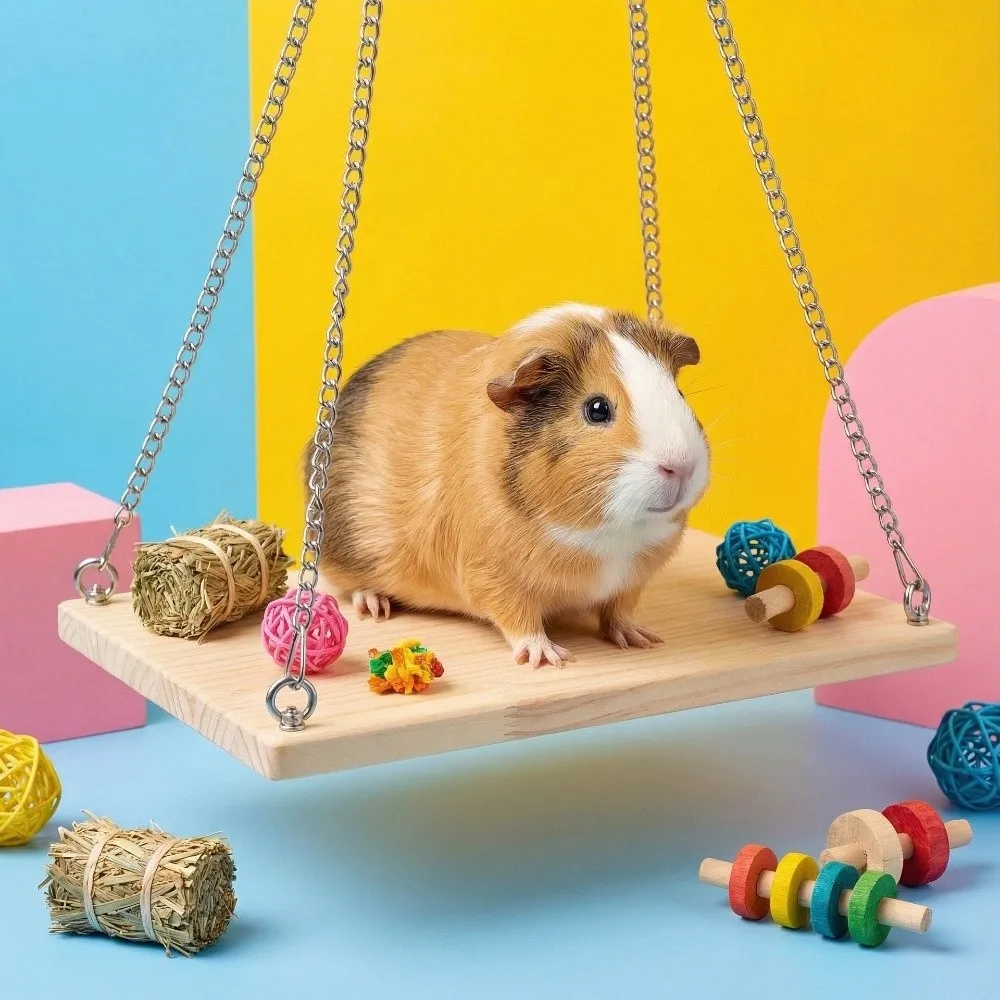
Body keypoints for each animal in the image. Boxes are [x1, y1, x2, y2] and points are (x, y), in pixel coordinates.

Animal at [306, 303, 710, 668]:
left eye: (679, 395)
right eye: (597, 409)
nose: (681, 466)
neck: (608, 534)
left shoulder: (630, 581)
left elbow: (619, 610)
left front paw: (640, 638)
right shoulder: (493, 577)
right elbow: (519, 619)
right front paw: (547, 658)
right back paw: (375, 607)